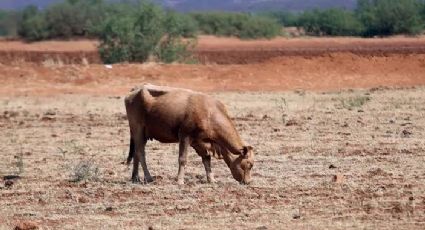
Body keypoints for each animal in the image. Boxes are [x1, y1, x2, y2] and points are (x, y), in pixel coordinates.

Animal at [124, 84, 253, 185]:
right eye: (250, 164)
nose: (248, 182)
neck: (209, 113)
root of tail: (135, 89)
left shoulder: (199, 141)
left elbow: (206, 159)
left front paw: (211, 179)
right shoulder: (185, 136)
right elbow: (182, 159)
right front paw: (180, 180)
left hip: (141, 134)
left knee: (136, 153)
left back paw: (135, 177)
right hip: (138, 129)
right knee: (141, 153)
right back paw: (148, 177)